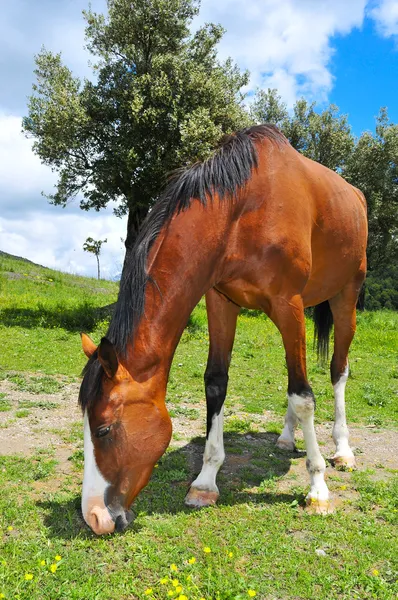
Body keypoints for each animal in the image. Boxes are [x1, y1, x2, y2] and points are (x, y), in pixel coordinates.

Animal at [77, 125, 366, 536]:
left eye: (103, 430)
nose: (93, 516)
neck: (240, 211)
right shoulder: (220, 300)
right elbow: (217, 383)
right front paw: (205, 482)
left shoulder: (288, 304)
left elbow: (304, 397)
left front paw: (318, 488)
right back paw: (286, 436)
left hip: (346, 295)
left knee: (337, 371)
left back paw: (342, 450)